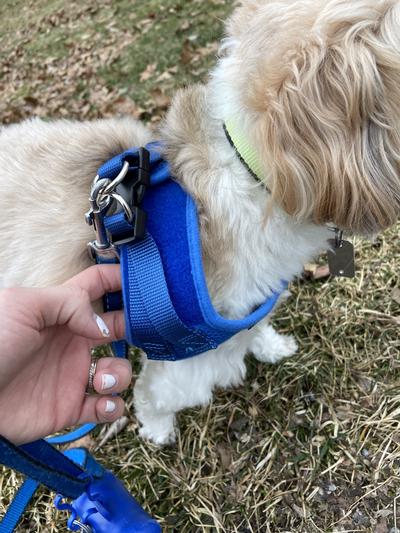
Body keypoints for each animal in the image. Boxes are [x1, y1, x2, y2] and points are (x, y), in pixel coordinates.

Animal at [0, 0, 400, 442]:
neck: (247, 167)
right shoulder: (187, 350)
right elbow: (161, 390)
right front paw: (156, 426)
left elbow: (255, 326)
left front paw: (271, 346)